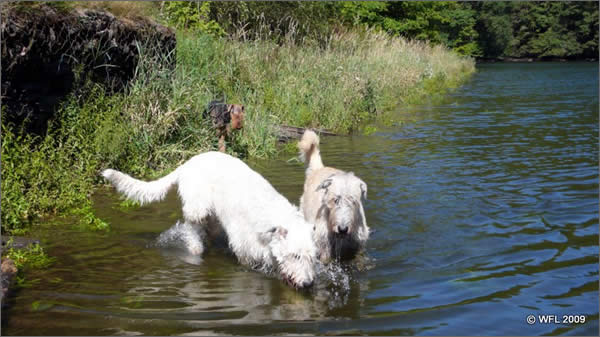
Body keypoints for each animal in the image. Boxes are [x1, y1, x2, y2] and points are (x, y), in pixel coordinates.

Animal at [103, 151, 318, 288]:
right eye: (295, 256)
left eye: (312, 257)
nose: (308, 284)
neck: (270, 222)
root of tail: (187, 163)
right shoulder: (244, 248)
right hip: (197, 206)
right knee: (191, 225)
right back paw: (195, 246)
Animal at [298, 129, 368, 262]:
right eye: (335, 200)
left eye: (353, 201)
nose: (342, 229)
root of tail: (318, 168)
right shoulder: (323, 244)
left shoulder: (357, 243)